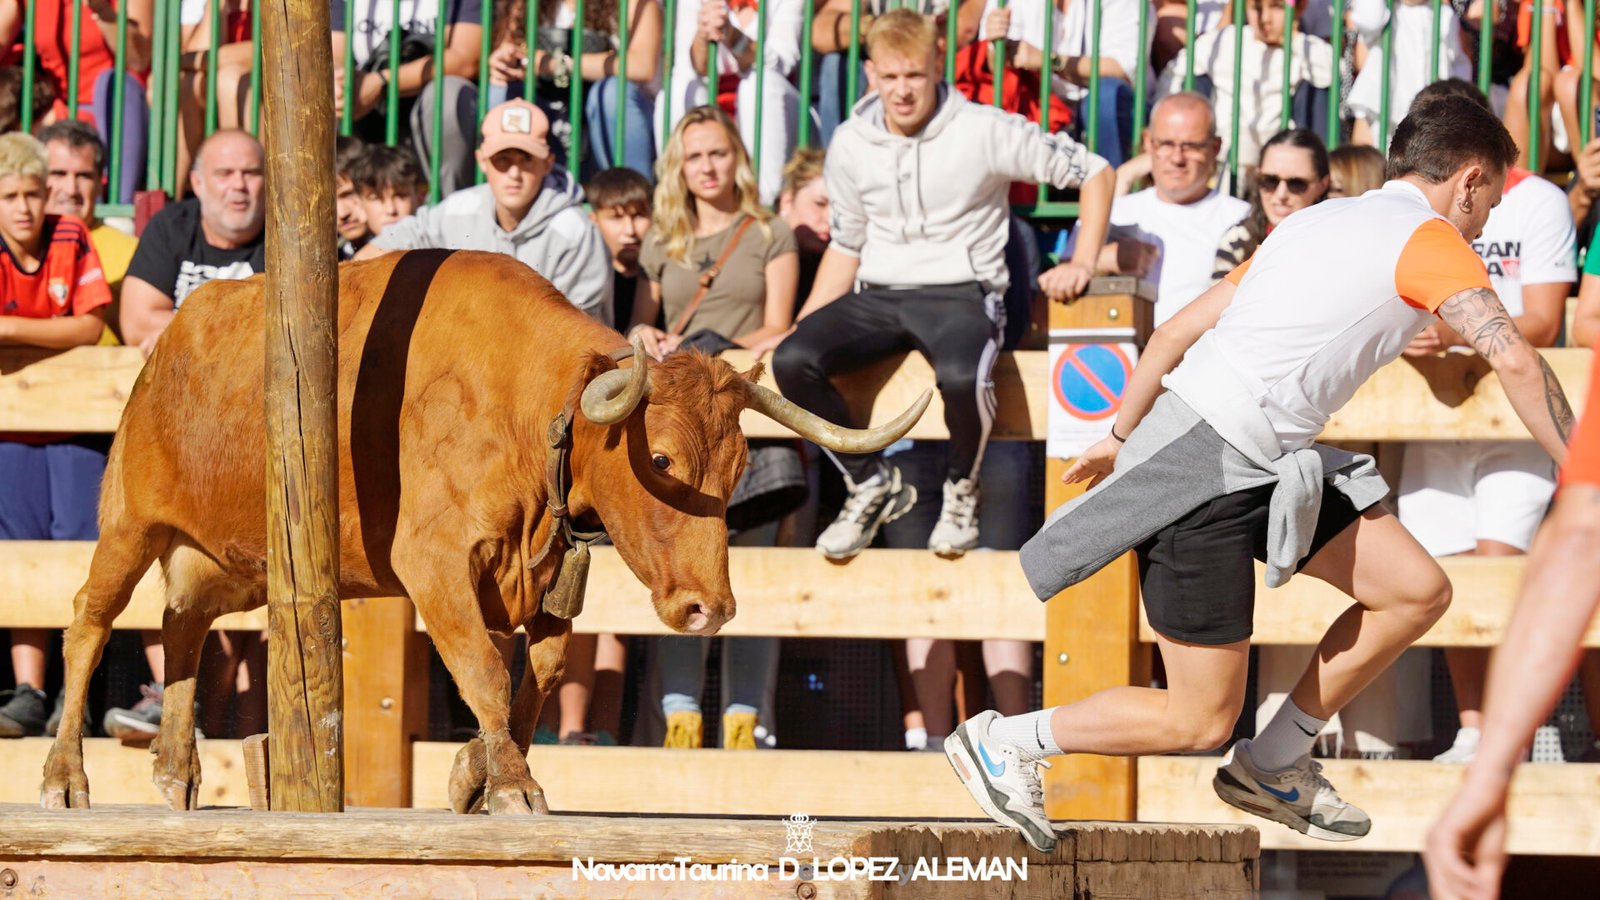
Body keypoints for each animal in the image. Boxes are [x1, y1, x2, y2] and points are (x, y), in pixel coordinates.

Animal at [37, 248, 928, 810]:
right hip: (130, 525)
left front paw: (474, 769)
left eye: (741, 467)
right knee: (88, 623)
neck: (531, 405)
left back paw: (175, 769)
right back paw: (63, 776)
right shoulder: (434, 565)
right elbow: (486, 674)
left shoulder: (541, 578)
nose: (709, 609)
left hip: (233, 561)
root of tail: (173, 340)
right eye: (662, 459)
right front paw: (507, 783)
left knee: (182, 625)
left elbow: (536, 675)